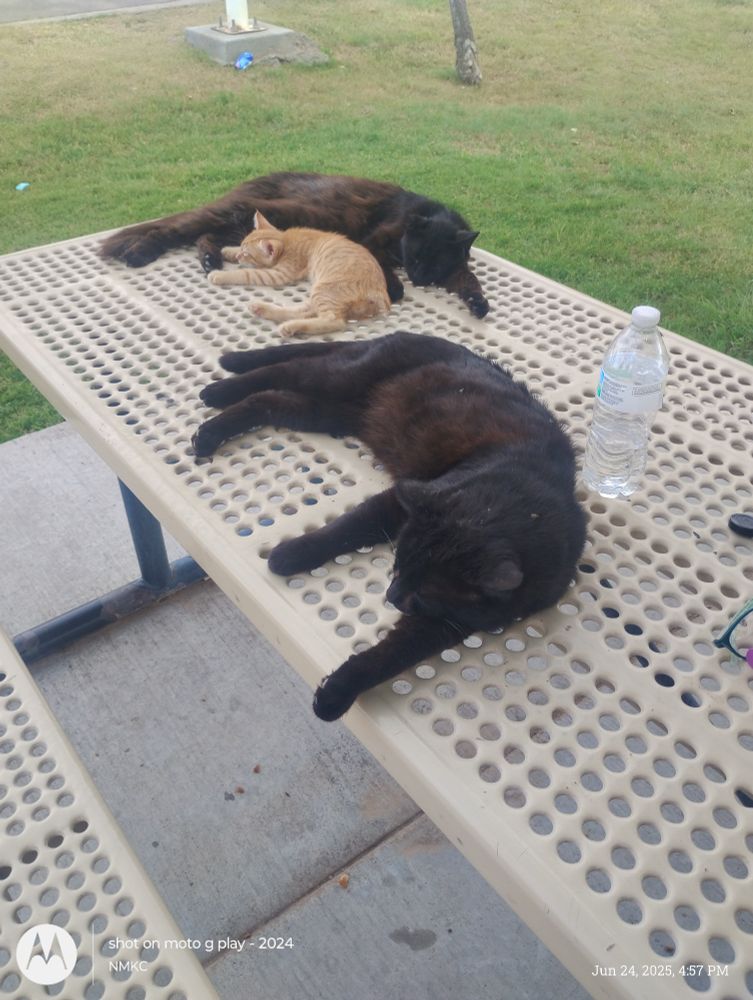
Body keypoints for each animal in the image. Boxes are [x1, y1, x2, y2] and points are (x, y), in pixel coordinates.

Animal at [99, 171, 490, 317]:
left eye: (435, 262)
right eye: (417, 254)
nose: (421, 277)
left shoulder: (456, 265)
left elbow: (468, 278)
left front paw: (479, 303)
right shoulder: (374, 242)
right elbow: (387, 274)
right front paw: (396, 288)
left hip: (252, 226)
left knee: (206, 237)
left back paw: (210, 261)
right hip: (265, 212)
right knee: (178, 230)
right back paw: (139, 252)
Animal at [191, 332, 587, 722]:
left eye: (423, 590)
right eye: (398, 563)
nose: (392, 595)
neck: (522, 503)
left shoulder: (445, 621)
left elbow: (392, 655)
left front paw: (337, 692)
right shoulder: (403, 498)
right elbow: (350, 526)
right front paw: (287, 555)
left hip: (331, 413)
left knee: (273, 401)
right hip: (340, 379)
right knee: (279, 375)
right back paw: (216, 400)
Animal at [207, 211, 391, 337]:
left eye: (247, 254)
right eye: (242, 247)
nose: (239, 256)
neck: (286, 240)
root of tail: (382, 295)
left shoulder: (279, 274)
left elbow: (247, 273)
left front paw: (220, 275)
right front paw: (229, 251)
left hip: (325, 290)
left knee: (333, 321)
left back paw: (291, 326)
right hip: (320, 292)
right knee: (305, 311)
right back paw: (263, 309)